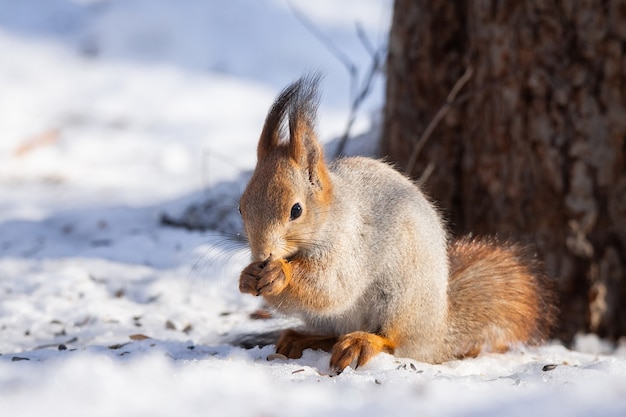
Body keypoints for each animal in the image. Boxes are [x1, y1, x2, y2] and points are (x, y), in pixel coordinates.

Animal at [236, 74, 552, 370]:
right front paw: (247, 277)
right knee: (334, 333)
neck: (331, 217)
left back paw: (362, 343)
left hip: (401, 300)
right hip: (336, 318)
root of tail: (437, 333)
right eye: (241, 207)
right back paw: (301, 339)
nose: (262, 254)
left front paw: (280, 273)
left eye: (296, 210)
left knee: (394, 340)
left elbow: (331, 286)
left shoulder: (352, 245)